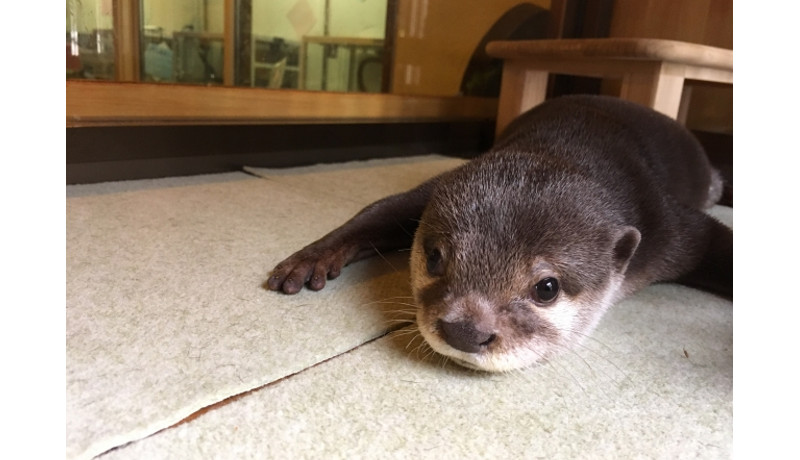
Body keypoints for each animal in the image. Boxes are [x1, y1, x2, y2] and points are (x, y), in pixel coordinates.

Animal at [264, 95, 732, 372]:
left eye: (547, 288)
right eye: (435, 258)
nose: (465, 332)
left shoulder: (668, 226)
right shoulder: (435, 187)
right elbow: (379, 211)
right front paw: (311, 258)